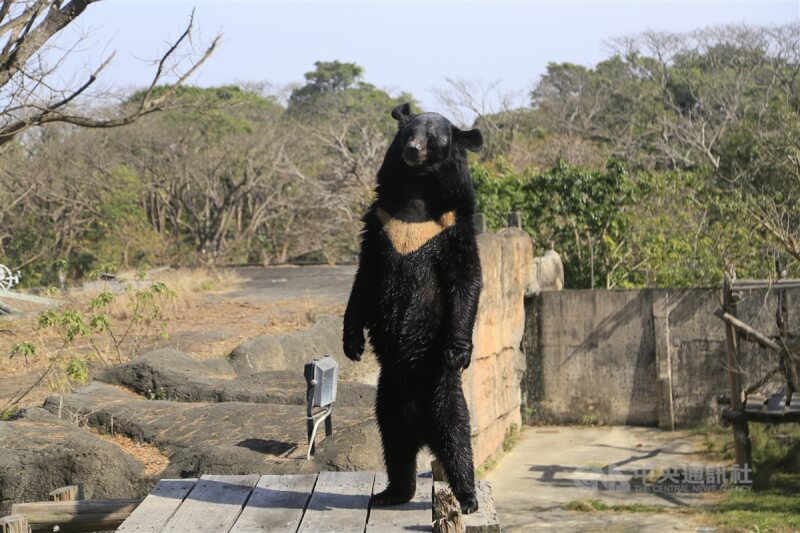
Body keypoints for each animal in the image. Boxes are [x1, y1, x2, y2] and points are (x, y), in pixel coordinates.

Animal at [342, 102, 482, 512]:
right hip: (387, 397)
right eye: (408, 133)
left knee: (456, 434)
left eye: (434, 138)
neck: (418, 192)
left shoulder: (452, 226)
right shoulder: (381, 222)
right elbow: (365, 276)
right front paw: (352, 342)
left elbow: (466, 280)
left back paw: (467, 496)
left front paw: (458, 350)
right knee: (394, 443)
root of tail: (421, 427)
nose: (412, 150)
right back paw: (392, 492)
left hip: (440, 388)